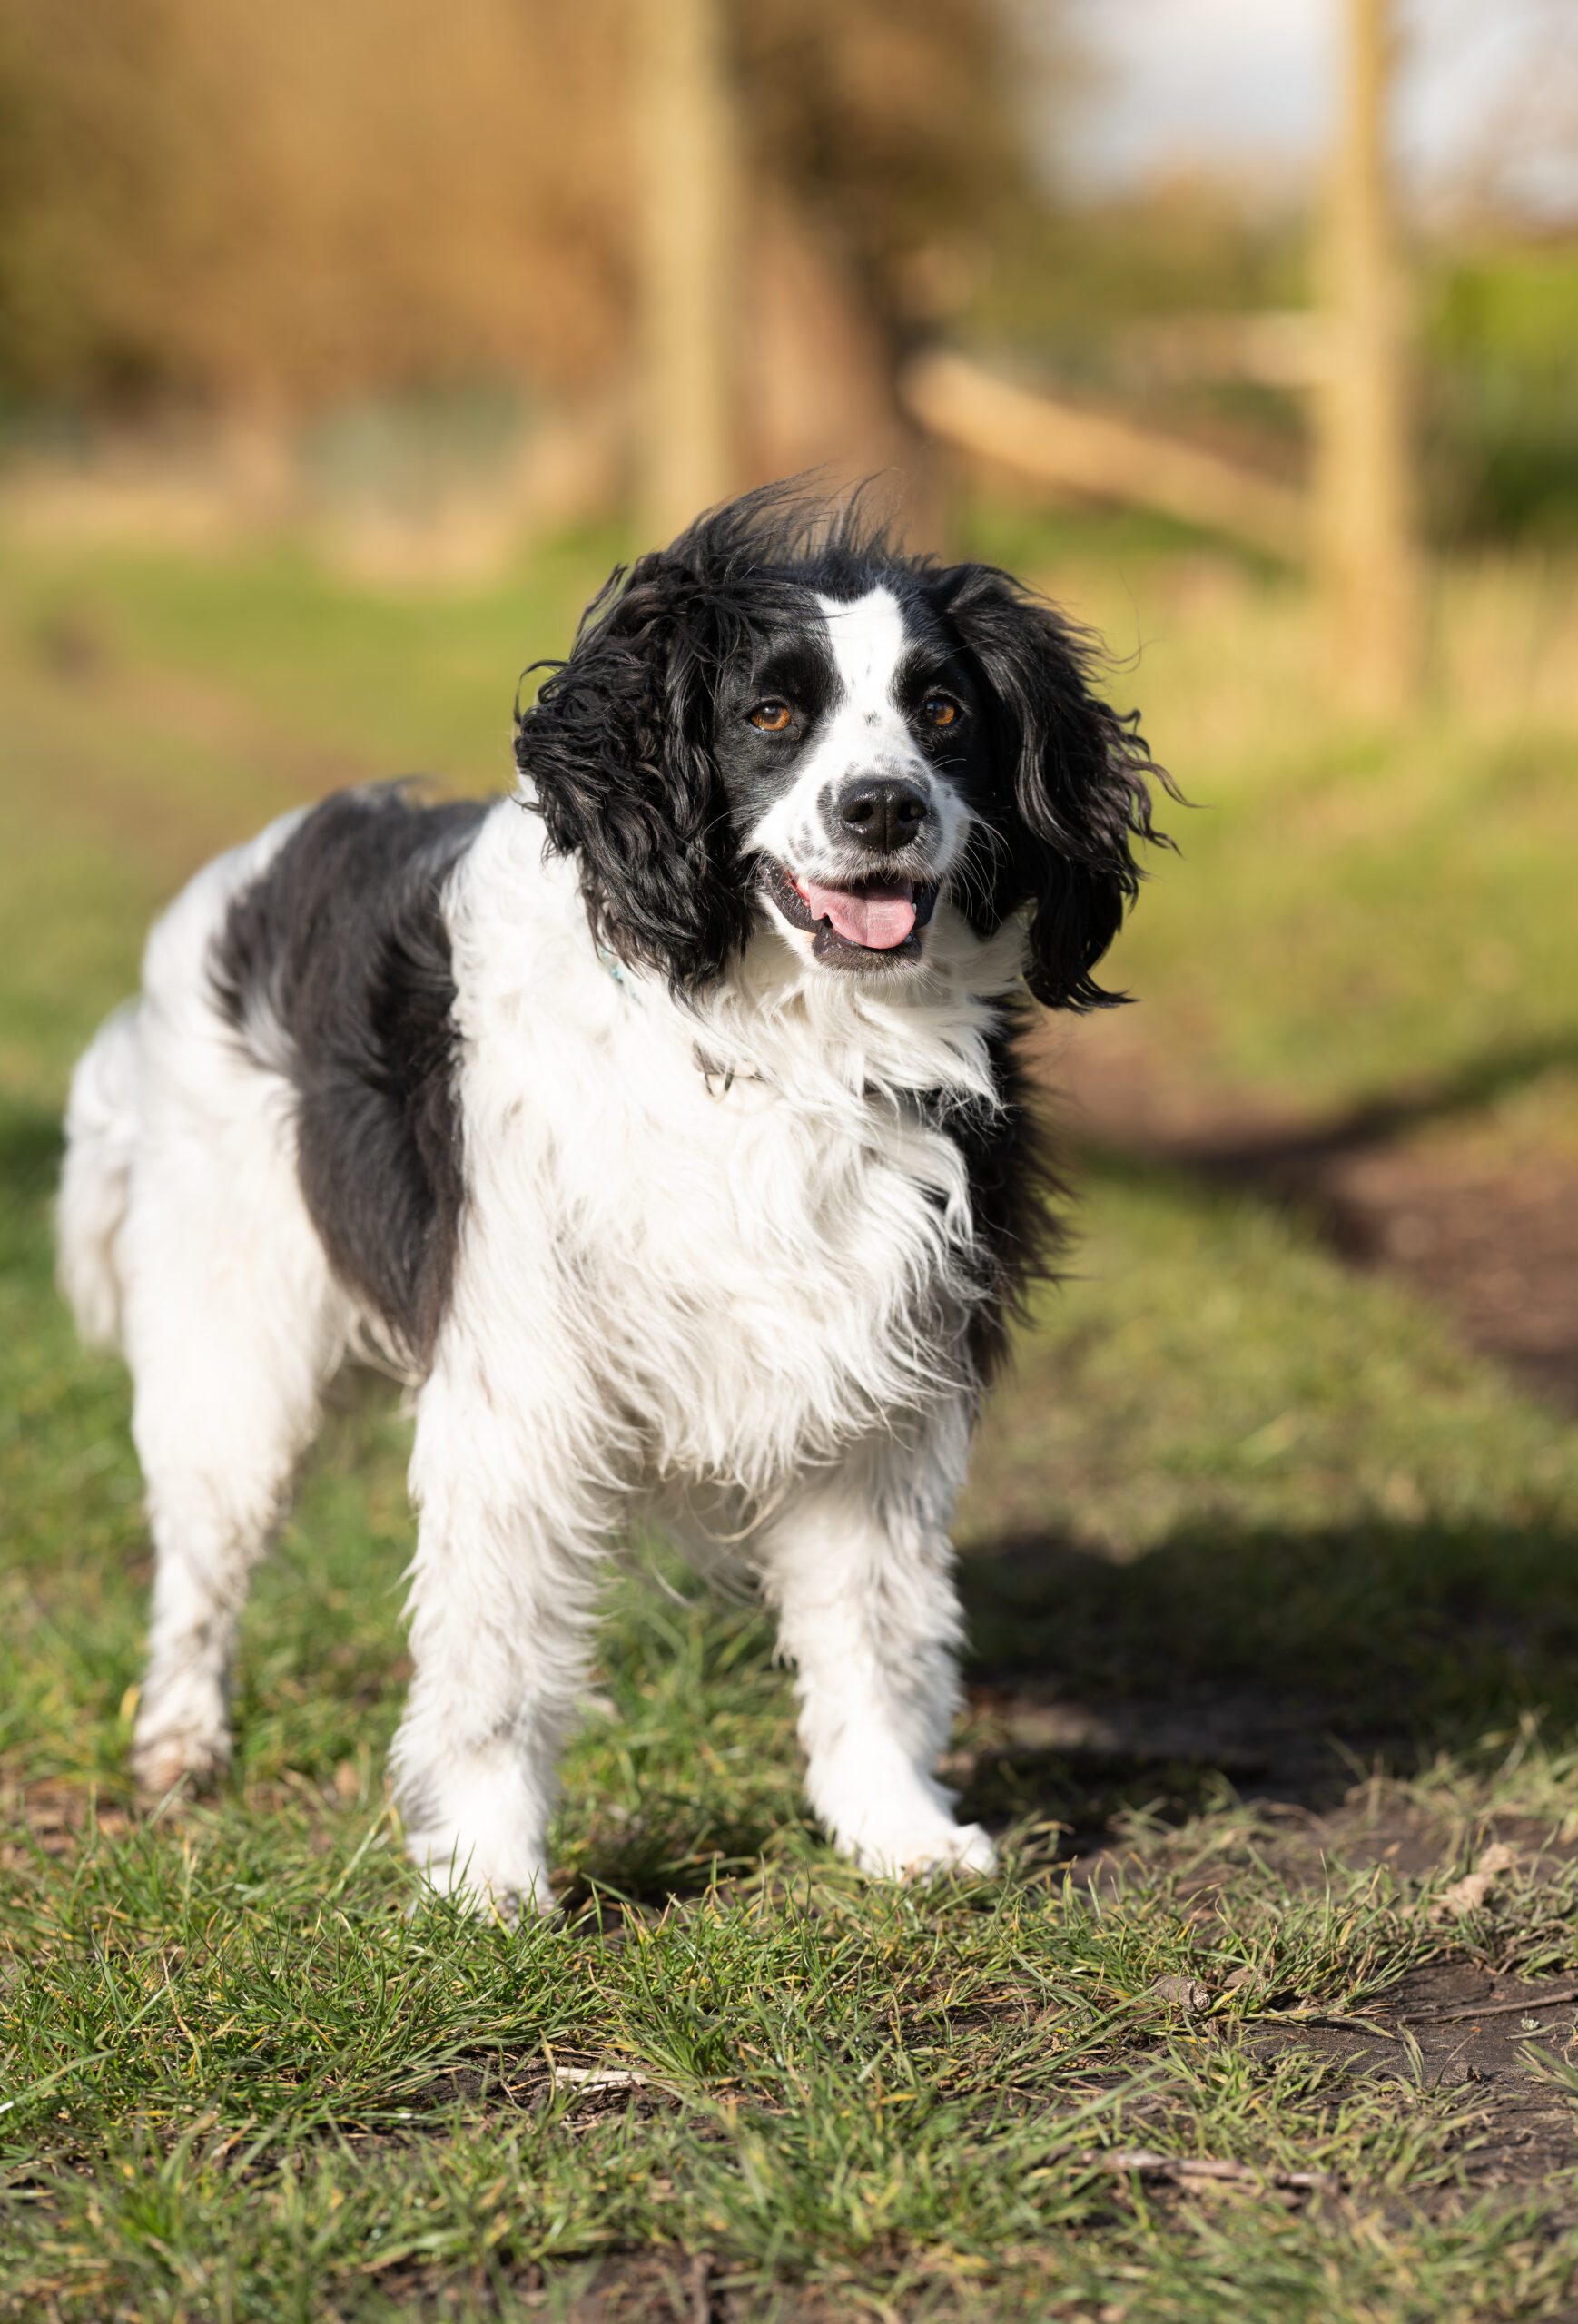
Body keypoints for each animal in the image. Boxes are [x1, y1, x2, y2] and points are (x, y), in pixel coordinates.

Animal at [57, 488, 1162, 1914]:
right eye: (770, 713)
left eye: (944, 711)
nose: (882, 809)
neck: (778, 1045)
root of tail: (257, 868)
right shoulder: (522, 1394)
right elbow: (496, 1661)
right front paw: (487, 1878)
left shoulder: (881, 1385)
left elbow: (878, 1632)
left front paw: (896, 1830)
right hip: (233, 1358)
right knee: (202, 1565)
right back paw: (183, 1742)